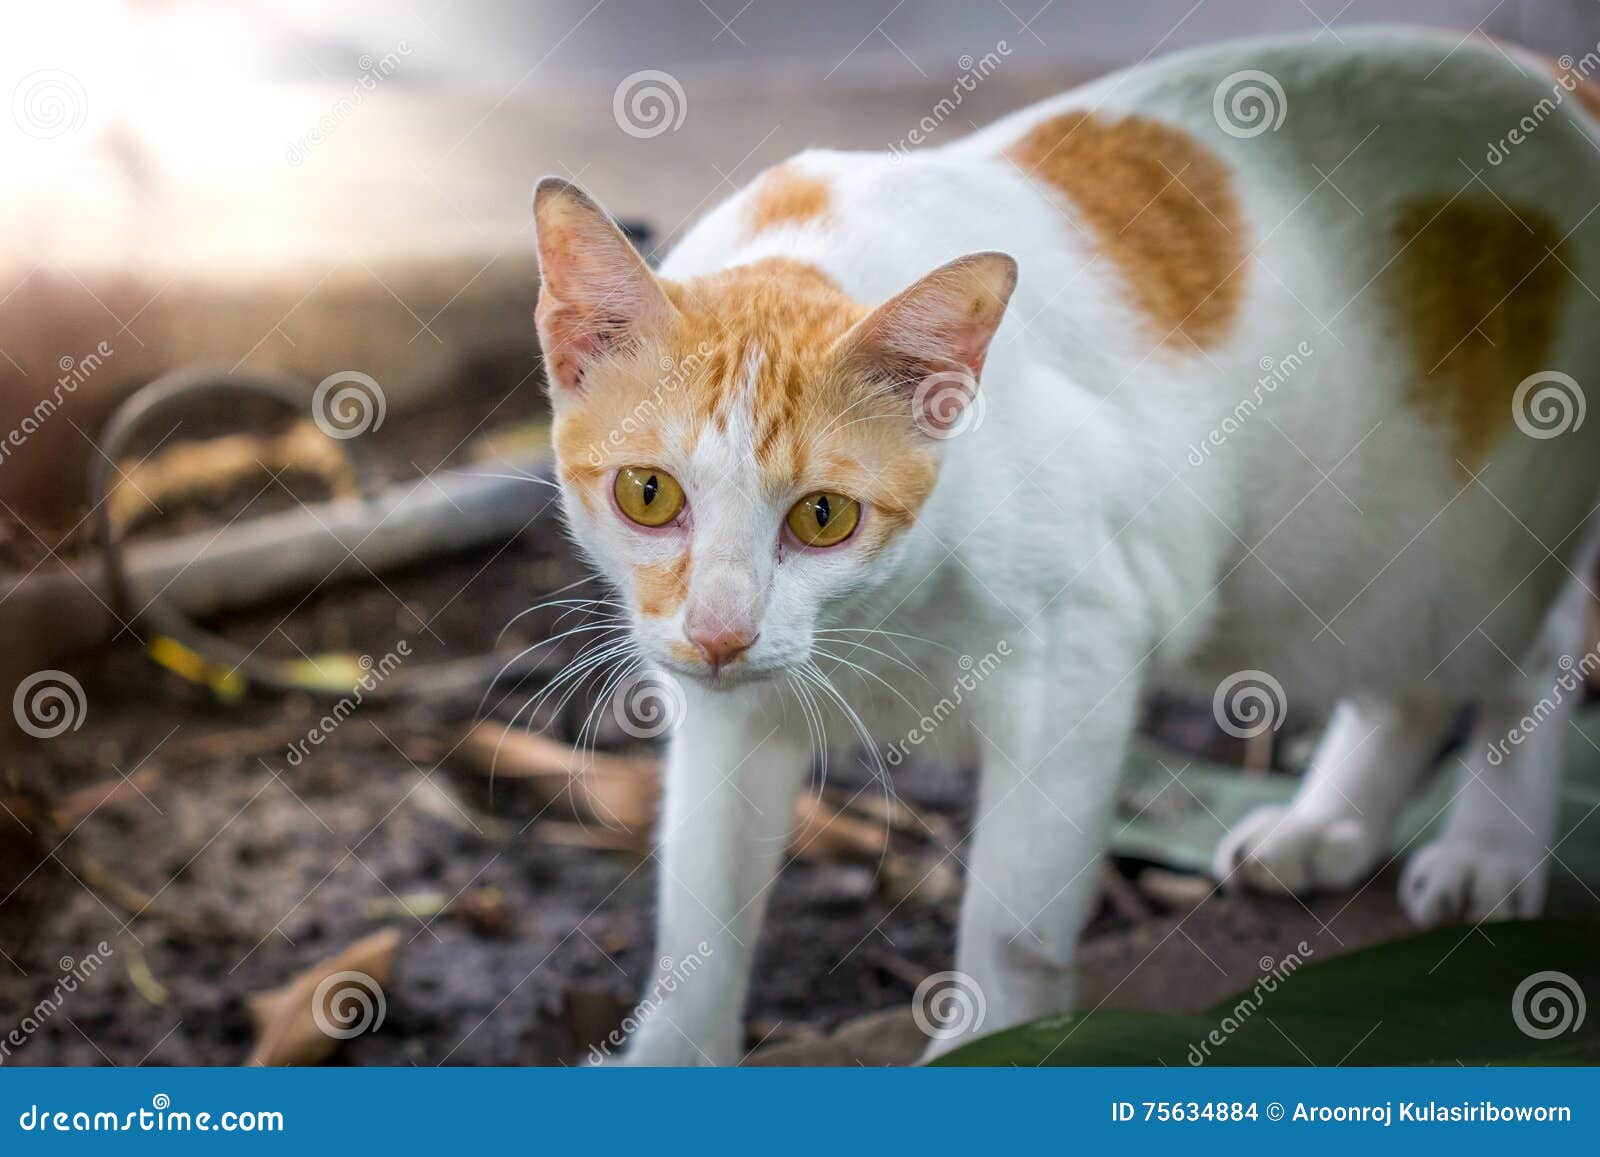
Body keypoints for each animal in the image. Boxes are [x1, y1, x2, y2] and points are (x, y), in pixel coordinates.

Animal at [531, 24, 1600, 1068]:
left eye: (824, 516)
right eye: (649, 493)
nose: (722, 633)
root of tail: (1550, 75)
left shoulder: (1078, 661)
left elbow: (1015, 924)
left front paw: (995, 1042)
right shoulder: (725, 718)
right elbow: (698, 925)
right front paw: (670, 1052)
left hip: (1447, 559)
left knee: (1525, 661)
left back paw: (1487, 849)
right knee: (1406, 689)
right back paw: (1322, 825)